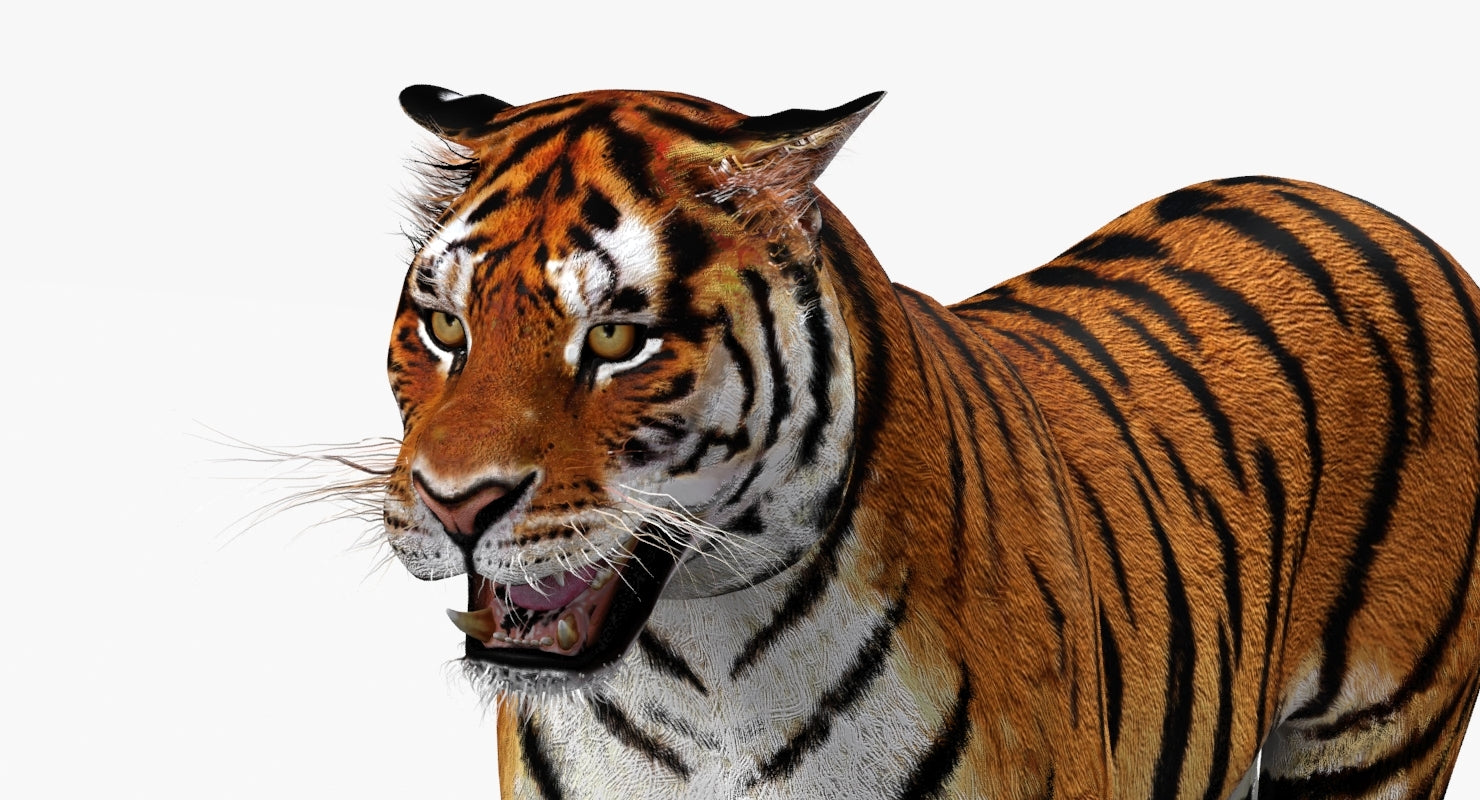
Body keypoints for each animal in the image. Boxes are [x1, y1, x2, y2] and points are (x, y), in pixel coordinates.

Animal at [376, 83, 1480, 799]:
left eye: (614, 337)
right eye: (444, 326)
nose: (455, 502)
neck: (699, 674)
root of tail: (1365, 206)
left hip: (1380, 737)